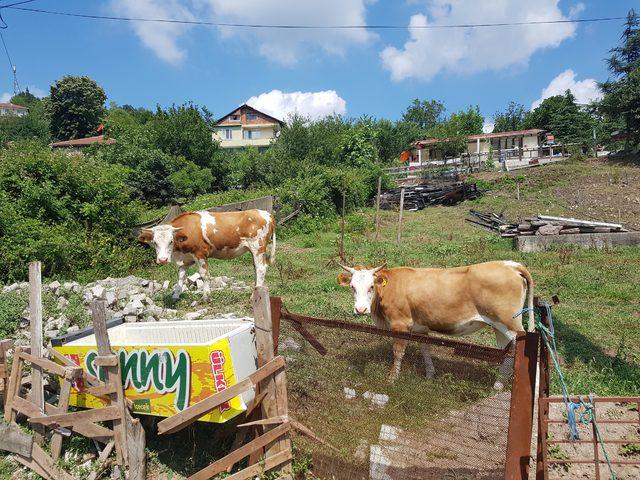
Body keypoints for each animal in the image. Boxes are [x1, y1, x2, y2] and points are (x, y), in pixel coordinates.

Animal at [139, 210, 274, 296]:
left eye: (171, 241)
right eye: (155, 242)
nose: (162, 259)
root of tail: (266, 213)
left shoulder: (200, 254)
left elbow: (204, 275)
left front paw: (206, 296)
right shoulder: (185, 259)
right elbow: (181, 277)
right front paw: (175, 295)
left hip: (257, 247)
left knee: (261, 268)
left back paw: (255, 294)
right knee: (256, 268)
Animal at [340, 260, 536, 388]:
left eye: (371, 286)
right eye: (352, 287)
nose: (360, 309)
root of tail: (509, 264)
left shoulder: (400, 324)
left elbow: (398, 352)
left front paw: (391, 379)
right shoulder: (420, 328)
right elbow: (425, 349)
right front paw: (430, 374)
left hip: (509, 323)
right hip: (499, 327)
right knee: (508, 351)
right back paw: (498, 385)